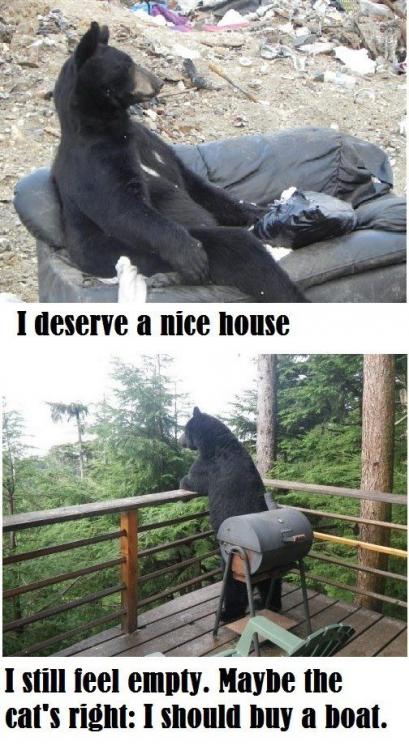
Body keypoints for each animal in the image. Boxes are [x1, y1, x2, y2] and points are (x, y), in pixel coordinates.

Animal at [51, 21, 306, 303]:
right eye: (128, 64)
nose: (159, 82)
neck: (109, 126)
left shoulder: (150, 143)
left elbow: (192, 183)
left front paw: (262, 210)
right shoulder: (94, 162)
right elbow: (123, 207)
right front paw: (190, 255)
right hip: (133, 254)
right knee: (240, 251)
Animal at [179, 407, 281, 621]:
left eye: (184, 429)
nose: (179, 440)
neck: (215, 442)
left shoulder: (208, 466)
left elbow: (190, 480)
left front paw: (183, 482)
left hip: (234, 557)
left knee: (234, 586)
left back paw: (229, 612)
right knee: (270, 582)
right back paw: (269, 604)